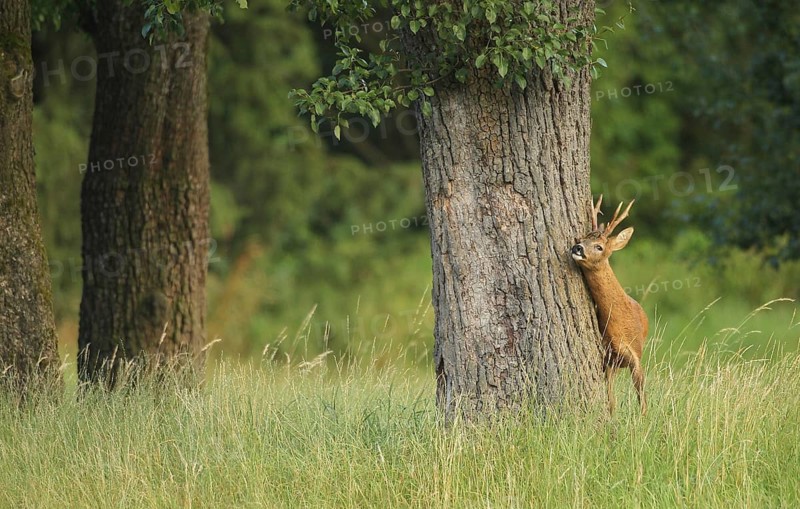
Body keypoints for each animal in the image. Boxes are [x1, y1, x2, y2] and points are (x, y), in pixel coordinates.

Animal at [570, 195, 648, 415]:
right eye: (581, 239)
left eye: (599, 247)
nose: (577, 248)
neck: (617, 325)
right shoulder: (608, 358)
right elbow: (611, 402)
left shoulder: (635, 356)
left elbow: (642, 397)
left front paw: (644, 420)